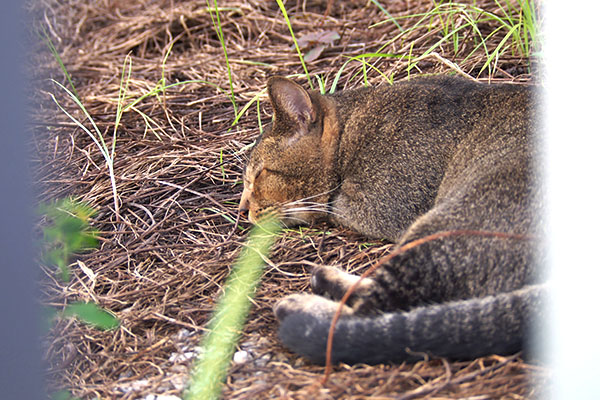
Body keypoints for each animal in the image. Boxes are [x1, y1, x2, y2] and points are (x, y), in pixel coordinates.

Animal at [238, 75, 544, 366]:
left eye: (259, 176)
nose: (242, 210)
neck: (351, 129)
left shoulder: (383, 205)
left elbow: (331, 206)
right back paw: (323, 277)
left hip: (445, 227)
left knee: (373, 315)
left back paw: (299, 306)